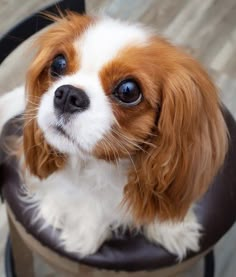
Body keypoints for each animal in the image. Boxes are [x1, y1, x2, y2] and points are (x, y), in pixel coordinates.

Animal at [0, 12, 229, 258]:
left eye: (128, 91)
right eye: (58, 63)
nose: (68, 94)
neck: (105, 164)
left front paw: (173, 230)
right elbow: (83, 201)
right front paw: (83, 235)